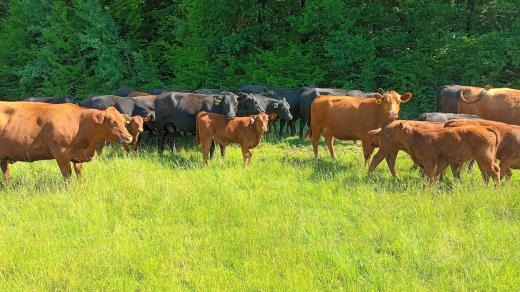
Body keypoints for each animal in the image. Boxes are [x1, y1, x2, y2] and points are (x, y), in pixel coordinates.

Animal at [0, 102, 133, 180]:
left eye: (123, 121)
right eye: (113, 122)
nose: (129, 138)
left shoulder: (77, 157)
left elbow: (78, 173)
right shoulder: (61, 155)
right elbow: (67, 175)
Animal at [370, 121, 500, 182]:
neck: (417, 136)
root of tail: (486, 128)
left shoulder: (430, 163)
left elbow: (431, 176)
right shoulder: (441, 162)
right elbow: (436, 175)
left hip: (485, 158)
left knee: (494, 171)